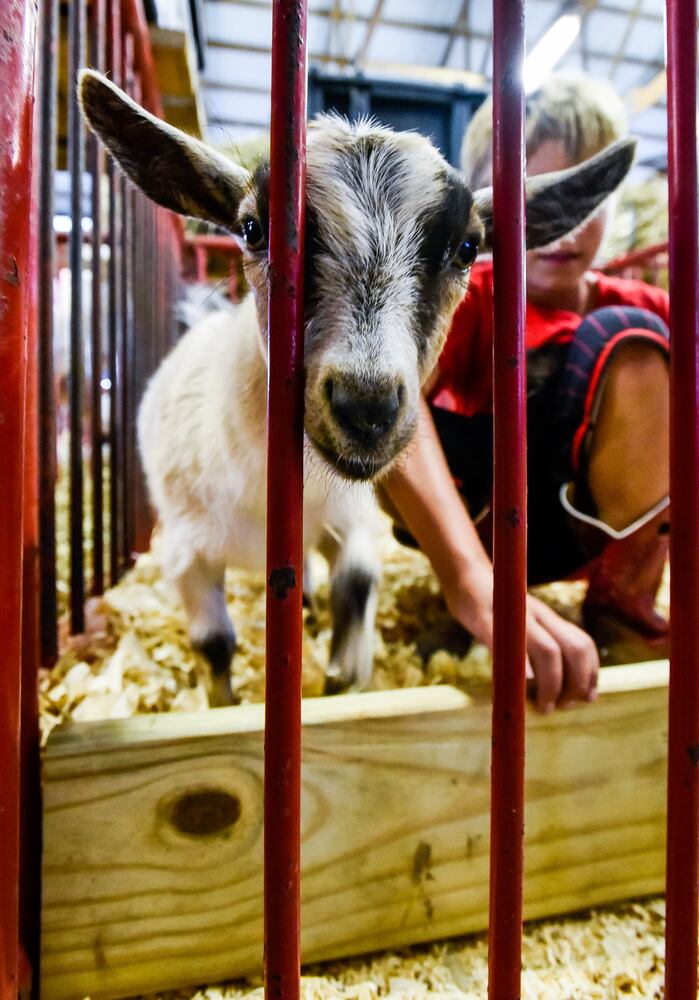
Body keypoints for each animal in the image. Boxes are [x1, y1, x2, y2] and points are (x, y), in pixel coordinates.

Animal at [79, 70, 636, 708]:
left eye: (468, 247)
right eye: (253, 228)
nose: (366, 406)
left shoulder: (347, 516)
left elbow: (360, 580)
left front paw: (346, 671)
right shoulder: (185, 553)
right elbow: (215, 643)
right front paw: (223, 703)